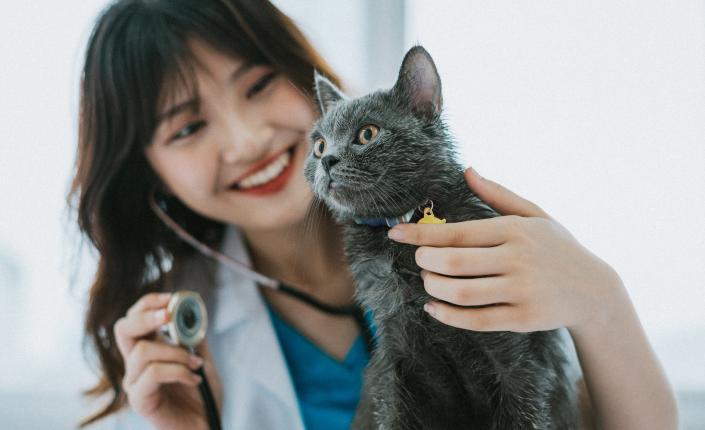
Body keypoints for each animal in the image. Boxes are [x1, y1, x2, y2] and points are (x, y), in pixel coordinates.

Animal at [302, 45, 576, 428]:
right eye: (319, 145)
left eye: (367, 133)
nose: (327, 159)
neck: (397, 237)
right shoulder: (397, 362)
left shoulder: (517, 361)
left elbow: (525, 413)